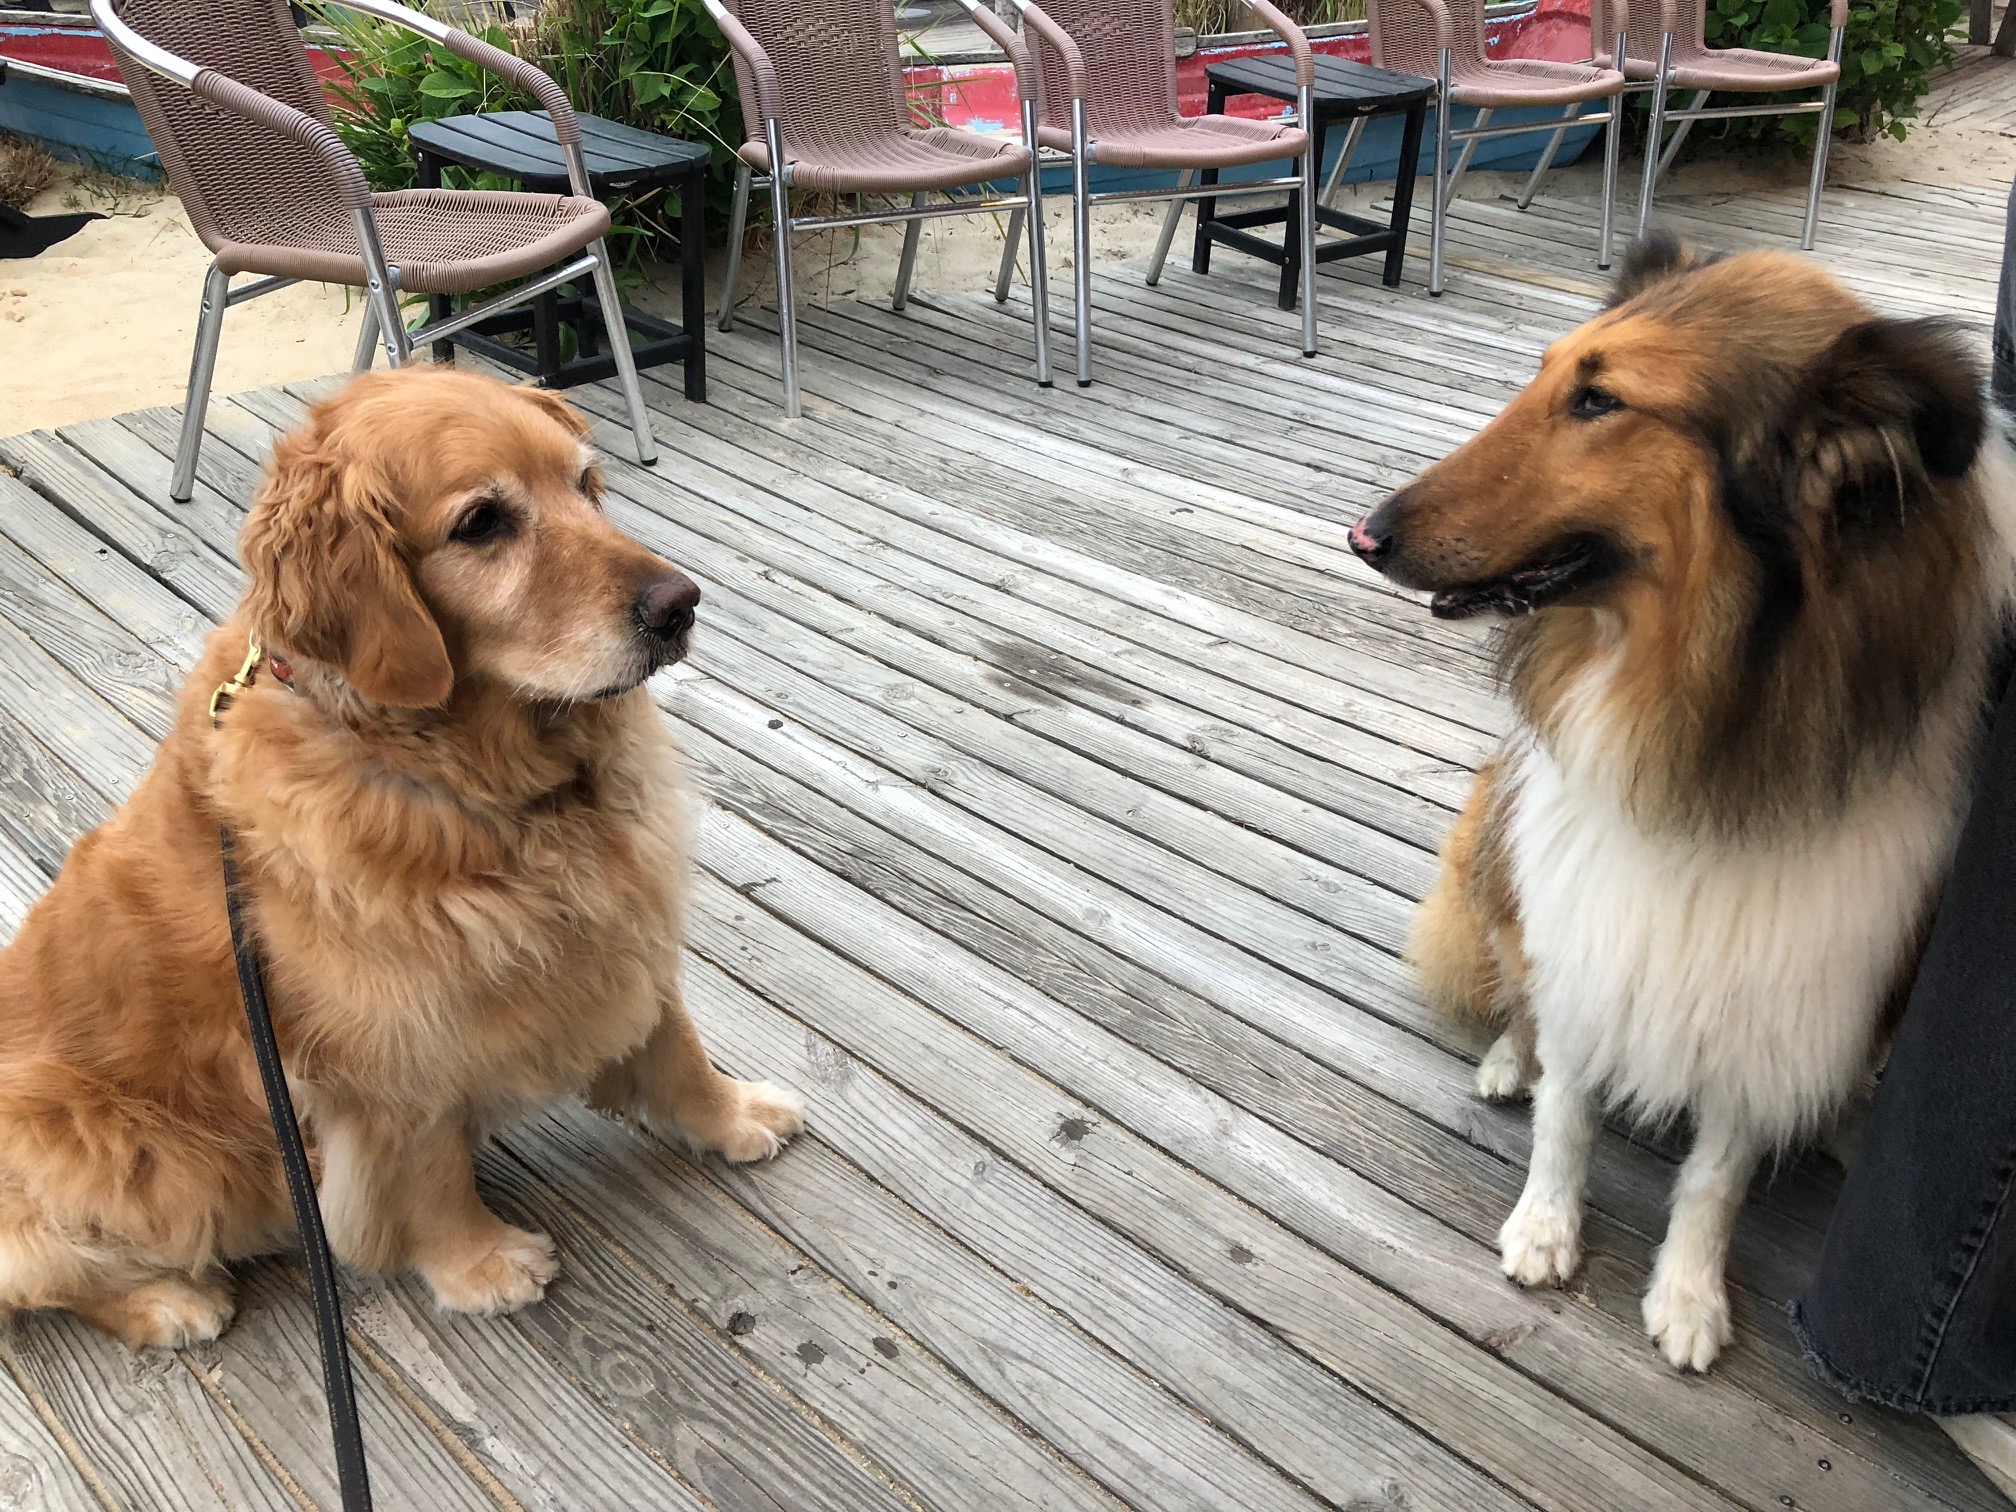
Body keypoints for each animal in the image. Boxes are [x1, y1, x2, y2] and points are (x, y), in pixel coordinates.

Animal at [0, 366, 804, 1348]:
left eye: (585, 484)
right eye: (482, 523)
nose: (680, 604)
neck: (488, 788)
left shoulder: (620, 929)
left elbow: (675, 1044)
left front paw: (733, 1115)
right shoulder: (387, 1053)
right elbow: (427, 1169)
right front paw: (479, 1263)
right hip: (118, 1147)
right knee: (45, 1270)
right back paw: (166, 1301)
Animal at [1349, 235, 2016, 1372]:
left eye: (1599, 401)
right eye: (1548, 373)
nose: (1365, 534)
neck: (1699, 709)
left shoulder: (1785, 980)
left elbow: (1717, 1172)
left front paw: (1690, 1296)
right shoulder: (1590, 906)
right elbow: (1569, 1104)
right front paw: (1543, 1228)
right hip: (1493, 831)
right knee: (1516, 988)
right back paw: (1507, 1058)